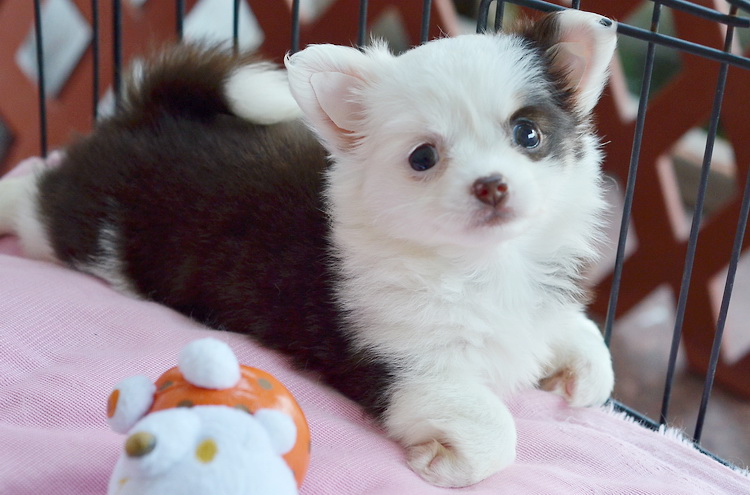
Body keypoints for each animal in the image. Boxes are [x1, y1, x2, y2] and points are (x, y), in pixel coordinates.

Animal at [0, 9, 617, 487]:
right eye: (423, 158)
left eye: (528, 134)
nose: (491, 185)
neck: (483, 265)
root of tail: (146, 113)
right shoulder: (408, 370)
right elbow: (497, 429)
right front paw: (442, 462)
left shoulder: (534, 309)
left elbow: (583, 338)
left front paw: (582, 373)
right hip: (80, 227)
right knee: (35, 193)